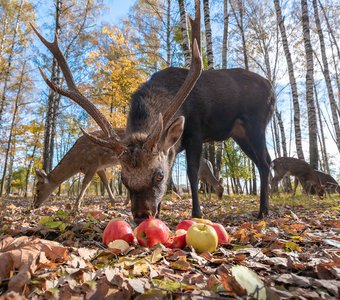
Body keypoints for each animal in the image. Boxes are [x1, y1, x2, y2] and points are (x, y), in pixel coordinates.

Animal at [31, 0, 276, 224]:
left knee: (265, 162)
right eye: (124, 179)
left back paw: (263, 211)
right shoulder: (172, 146)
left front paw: (196, 214)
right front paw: (161, 211)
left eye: (158, 176)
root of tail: (271, 88)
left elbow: (192, 172)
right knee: (264, 161)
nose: (142, 215)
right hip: (239, 133)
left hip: (256, 122)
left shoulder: (195, 131)